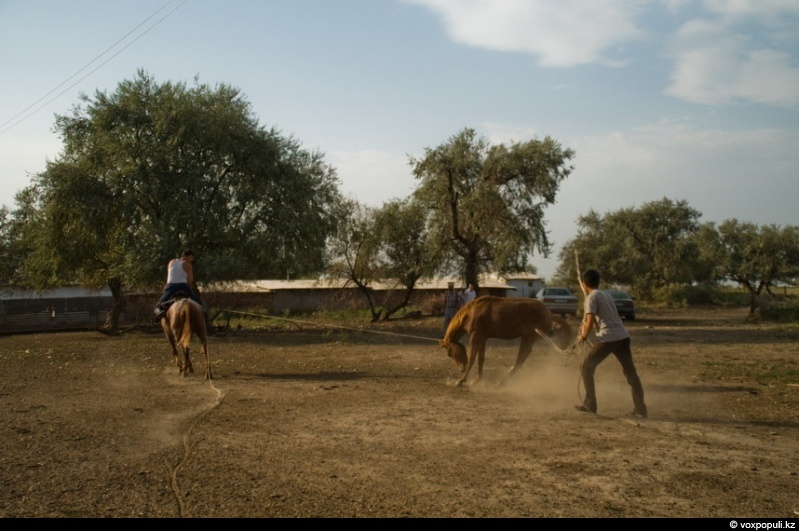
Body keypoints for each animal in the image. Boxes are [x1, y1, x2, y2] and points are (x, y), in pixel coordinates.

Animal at [440, 296, 572, 386]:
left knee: (521, 359)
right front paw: (477, 380)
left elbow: (472, 359)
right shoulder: (483, 338)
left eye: (450, 353)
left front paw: (461, 380)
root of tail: (549, 314)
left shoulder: (475, 337)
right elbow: (481, 360)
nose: (461, 369)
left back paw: (503, 382)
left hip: (528, 339)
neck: (472, 313)